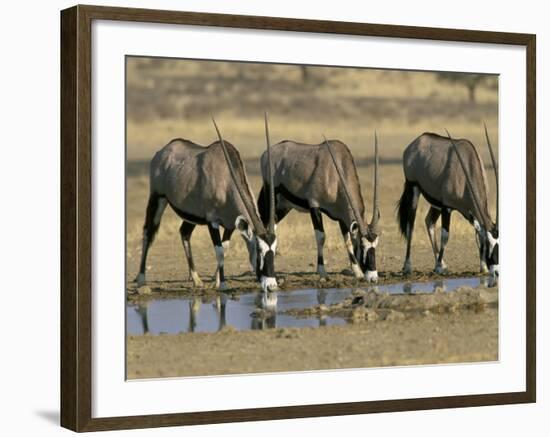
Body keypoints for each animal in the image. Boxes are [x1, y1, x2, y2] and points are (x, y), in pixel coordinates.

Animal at [134, 117, 280, 292]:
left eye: (275, 250)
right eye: (259, 250)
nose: (271, 286)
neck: (226, 180)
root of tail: (163, 151)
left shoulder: (230, 224)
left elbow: (225, 248)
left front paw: (215, 281)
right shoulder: (212, 221)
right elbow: (219, 251)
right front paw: (222, 285)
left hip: (191, 214)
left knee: (184, 233)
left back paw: (196, 280)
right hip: (158, 198)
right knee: (148, 232)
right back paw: (141, 280)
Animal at [258, 133, 380, 282]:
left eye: (375, 245)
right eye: (362, 246)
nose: (373, 278)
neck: (335, 173)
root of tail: (266, 153)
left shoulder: (342, 216)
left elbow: (347, 240)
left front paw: (357, 271)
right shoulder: (314, 205)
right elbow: (321, 237)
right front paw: (322, 272)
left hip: (284, 206)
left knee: (272, 225)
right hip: (272, 198)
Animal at [396, 124, 500, 278]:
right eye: (490, 244)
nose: (497, 272)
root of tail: (416, 142)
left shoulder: (469, 210)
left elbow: (477, 232)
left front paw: (483, 267)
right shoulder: (447, 207)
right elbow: (445, 235)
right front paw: (439, 268)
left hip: (436, 202)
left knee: (429, 221)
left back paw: (442, 263)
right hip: (413, 187)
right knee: (411, 225)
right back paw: (408, 266)